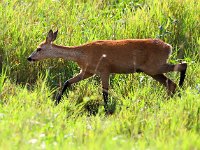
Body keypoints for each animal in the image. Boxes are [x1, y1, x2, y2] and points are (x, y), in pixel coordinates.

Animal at [27, 29, 187, 113]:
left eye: (39, 48)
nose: (29, 58)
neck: (82, 54)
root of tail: (168, 46)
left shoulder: (104, 69)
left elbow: (105, 92)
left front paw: (106, 109)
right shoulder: (87, 72)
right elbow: (67, 81)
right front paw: (56, 102)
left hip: (154, 67)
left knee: (182, 65)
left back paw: (180, 90)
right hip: (152, 71)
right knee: (171, 84)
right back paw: (170, 99)